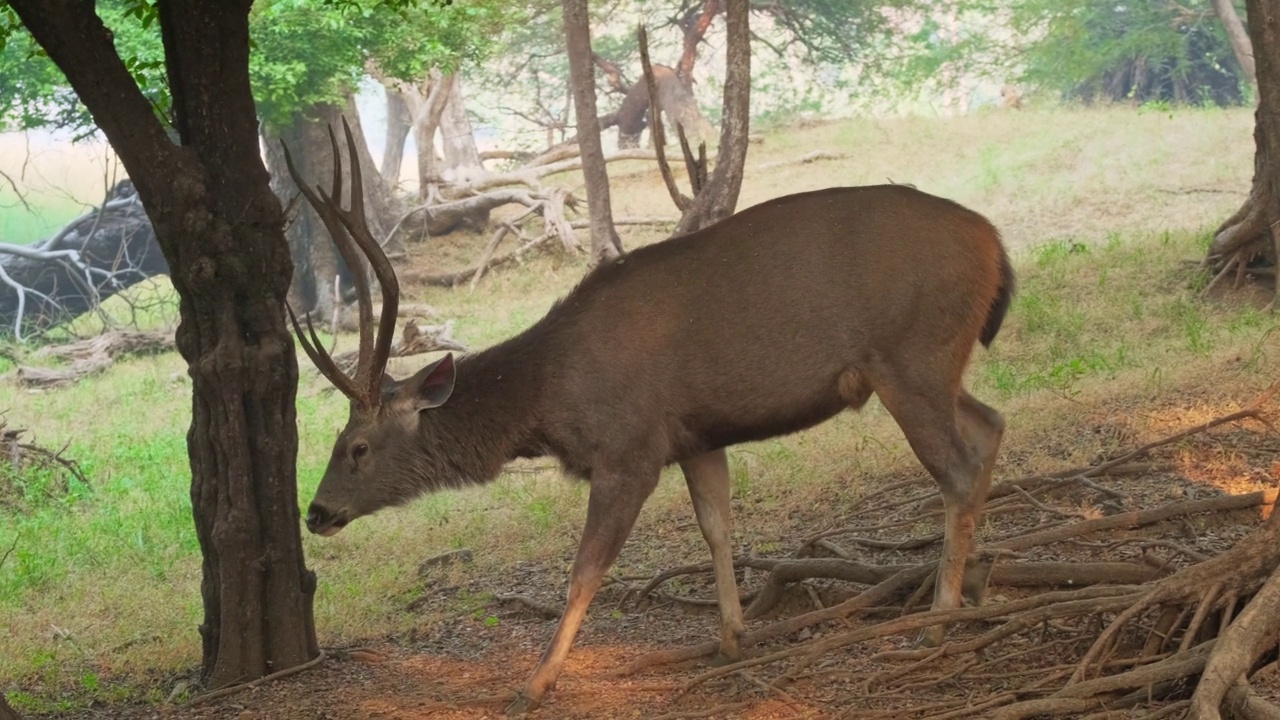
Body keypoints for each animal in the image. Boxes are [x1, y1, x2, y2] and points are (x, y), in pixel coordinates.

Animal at [288, 122, 1008, 712]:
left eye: (355, 446)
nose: (316, 513)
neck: (548, 399)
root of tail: (995, 243)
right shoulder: (694, 434)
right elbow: (717, 527)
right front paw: (731, 636)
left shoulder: (628, 448)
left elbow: (585, 568)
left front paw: (537, 681)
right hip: (937, 363)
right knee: (992, 423)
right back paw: (977, 583)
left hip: (912, 353)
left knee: (955, 466)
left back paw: (939, 618)